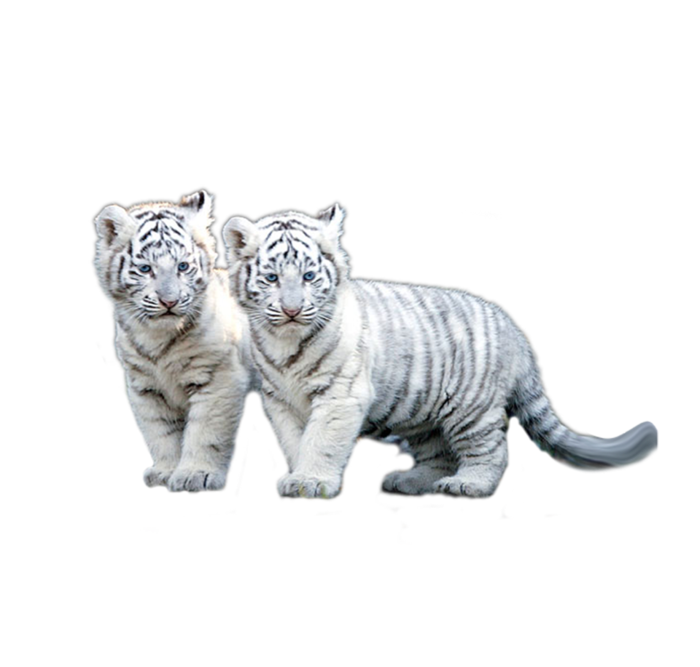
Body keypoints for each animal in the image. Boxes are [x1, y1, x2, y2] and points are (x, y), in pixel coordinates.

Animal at [94, 190, 256, 493]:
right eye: (145, 269)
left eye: (183, 266)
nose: (169, 302)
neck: (158, 338)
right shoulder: (145, 387)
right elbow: (161, 431)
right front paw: (166, 471)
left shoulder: (219, 377)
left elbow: (205, 429)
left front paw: (196, 474)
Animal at [222, 203, 660, 500]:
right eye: (272, 278)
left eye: (310, 276)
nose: (293, 310)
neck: (284, 343)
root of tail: (513, 330)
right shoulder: (280, 400)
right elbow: (296, 440)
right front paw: (300, 476)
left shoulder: (340, 396)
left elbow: (323, 439)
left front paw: (313, 480)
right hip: (424, 415)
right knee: (439, 455)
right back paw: (408, 480)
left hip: (472, 409)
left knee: (492, 449)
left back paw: (469, 484)